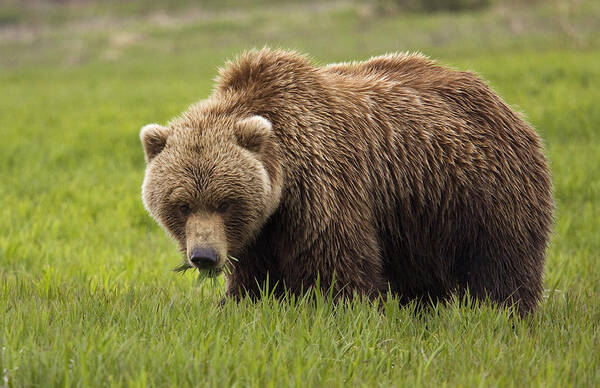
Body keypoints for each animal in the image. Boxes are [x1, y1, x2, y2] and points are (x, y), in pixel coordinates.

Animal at [141, 48, 552, 316]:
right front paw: (235, 306)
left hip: (482, 192)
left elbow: (338, 265)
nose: (204, 256)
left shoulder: (323, 187)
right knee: (422, 276)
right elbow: (253, 279)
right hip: (420, 215)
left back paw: (505, 315)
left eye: (225, 201)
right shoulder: (260, 230)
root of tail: (502, 104)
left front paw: (343, 313)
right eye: (182, 204)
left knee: (501, 266)